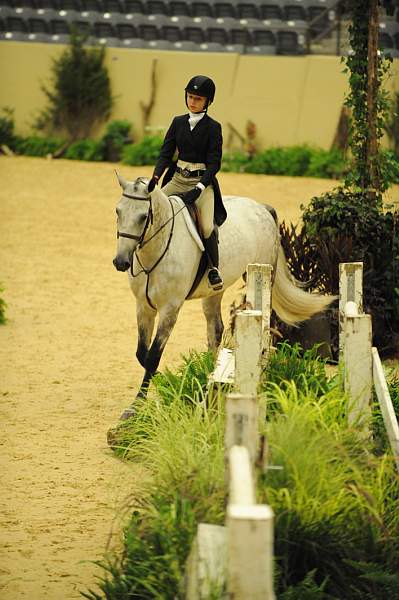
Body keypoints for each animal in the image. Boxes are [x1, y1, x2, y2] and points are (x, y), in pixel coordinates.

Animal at [114, 173, 332, 418]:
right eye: (118, 212)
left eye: (143, 217)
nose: (121, 262)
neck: (155, 252)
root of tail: (262, 207)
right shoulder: (144, 306)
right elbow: (142, 354)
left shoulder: (170, 309)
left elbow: (152, 357)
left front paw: (139, 405)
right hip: (215, 291)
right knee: (215, 330)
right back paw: (208, 374)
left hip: (262, 275)